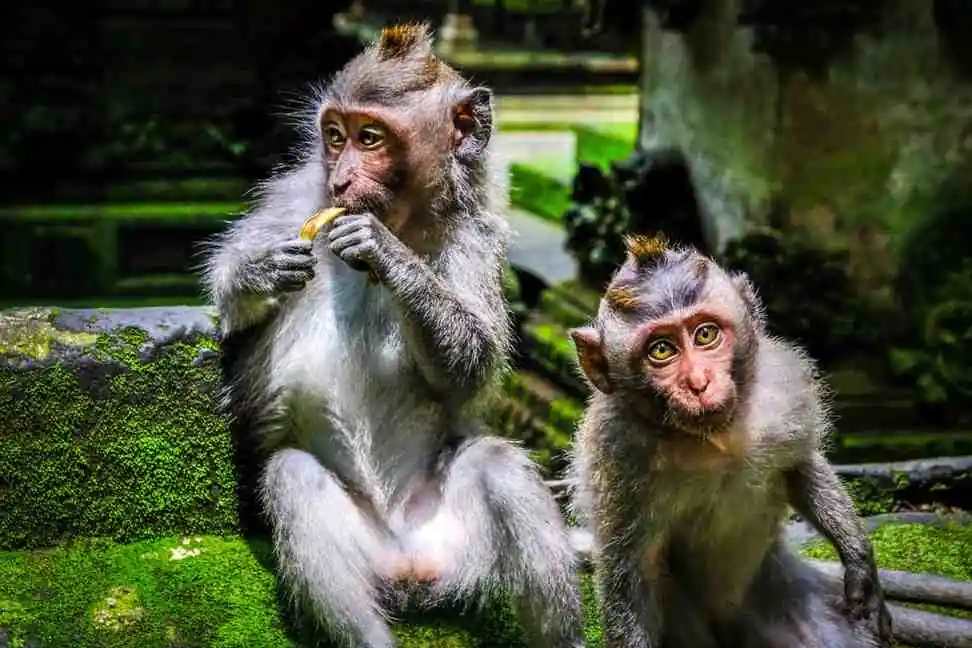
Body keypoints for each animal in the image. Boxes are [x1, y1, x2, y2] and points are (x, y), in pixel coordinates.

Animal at [200, 23, 585, 648]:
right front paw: (259, 270)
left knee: (498, 465)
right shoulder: (294, 201)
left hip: (458, 546)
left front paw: (388, 255)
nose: (341, 177)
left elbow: (473, 362)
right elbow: (227, 295)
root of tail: (408, 563)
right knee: (293, 478)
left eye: (371, 137)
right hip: (368, 555)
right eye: (335, 136)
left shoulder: (475, 235)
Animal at [564, 235, 895, 648]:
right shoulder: (616, 453)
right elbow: (632, 574)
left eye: (705, 334)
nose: (699, 383)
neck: (713, 439)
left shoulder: (781, 391)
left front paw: (861, 565)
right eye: (662, 349)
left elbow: (800, 465)